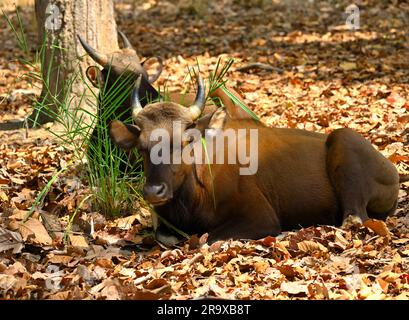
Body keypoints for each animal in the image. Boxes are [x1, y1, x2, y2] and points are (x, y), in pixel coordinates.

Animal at [109, 76, 404, 241]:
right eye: (142, 147)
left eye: (185, 141)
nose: (154, 191)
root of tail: (392, 170)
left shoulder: (261, 217)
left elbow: (207, 238)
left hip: (344, 140)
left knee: (353, 218)